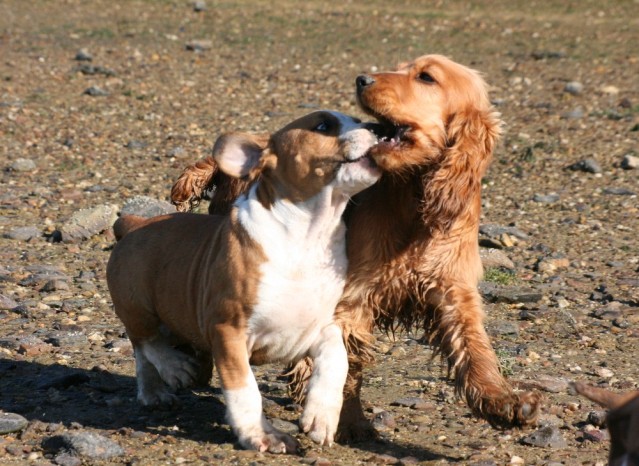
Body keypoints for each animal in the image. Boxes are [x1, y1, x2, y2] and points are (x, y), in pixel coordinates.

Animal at [107, 111, 382, 454]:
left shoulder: (321, 326)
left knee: (144, 356)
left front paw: (322, 417)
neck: (307, 233)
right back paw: (175, 368)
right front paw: (261, 435)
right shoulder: (229, 331)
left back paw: (154, 393)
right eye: (322, 126)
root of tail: (135, 225)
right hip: (136, 302)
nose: (378, 128)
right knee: (144, 341)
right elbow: (245, 389)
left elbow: (337, 359)